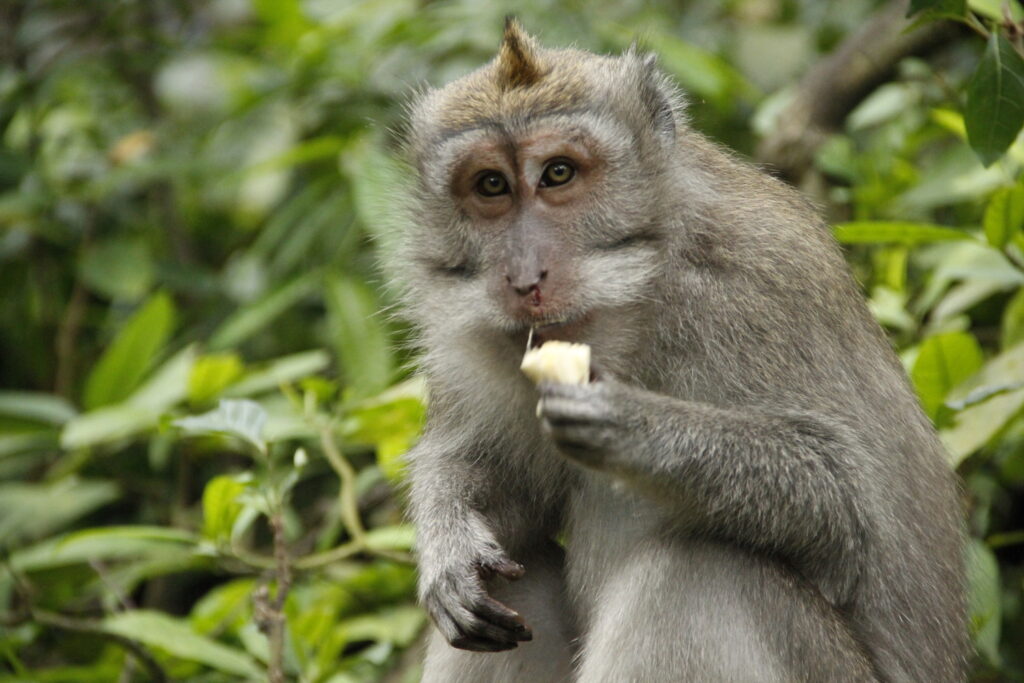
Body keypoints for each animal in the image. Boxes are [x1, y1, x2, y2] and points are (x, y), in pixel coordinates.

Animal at [387, 18, 962, 679]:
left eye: (558, 174)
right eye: (490, 186)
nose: (526, 278)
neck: (641, 289)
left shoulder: (754, 285)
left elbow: (846, 513)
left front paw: (634, 424)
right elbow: (502, 492)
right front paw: (449, 542)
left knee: (692, 573)